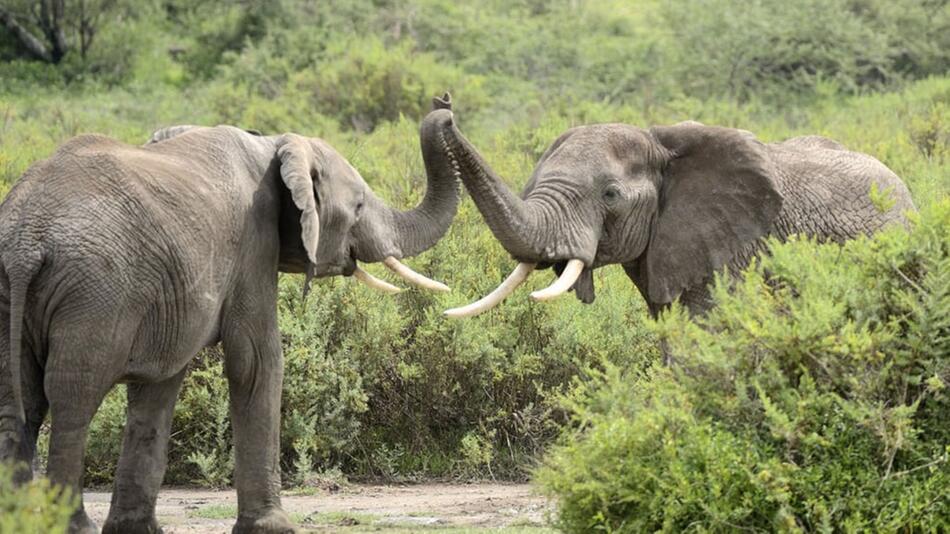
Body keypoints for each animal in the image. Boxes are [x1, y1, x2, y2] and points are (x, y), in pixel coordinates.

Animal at [0, 102, 462, 532]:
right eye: (360, 205)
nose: (445, 107)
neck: (273, 146)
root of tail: (26, 239)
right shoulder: (254, 245)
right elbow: (256, 362)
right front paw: (273, 528)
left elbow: (158, 387)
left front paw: (137, 530)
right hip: (95, 293)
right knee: (72, 399)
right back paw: (72, 524)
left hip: (14, 293)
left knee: (18, 404)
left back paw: (18, 520)